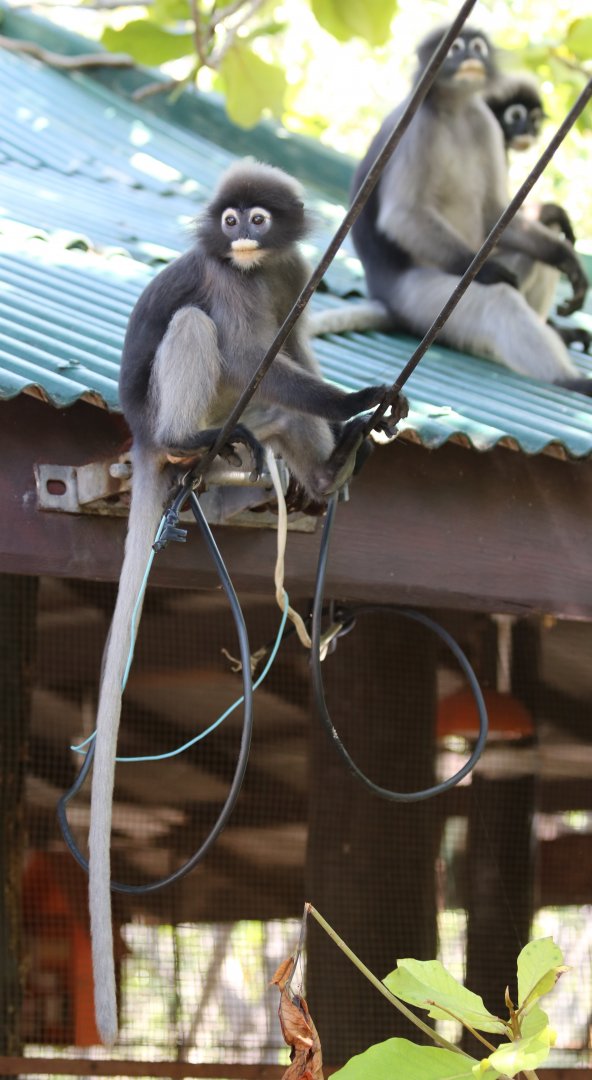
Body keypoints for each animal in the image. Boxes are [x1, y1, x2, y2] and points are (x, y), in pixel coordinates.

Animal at [88, 158, 396, 1046]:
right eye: (228, 222)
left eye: (257, 218)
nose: (241, 235)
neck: (254, 272)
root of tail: (141, 431)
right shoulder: (227, 283)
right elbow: (247, 341)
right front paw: (356, 396)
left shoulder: (289, 275)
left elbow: (291, 350)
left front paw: (354, 417)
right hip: (182, 403)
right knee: (196, 326)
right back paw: (191, 445)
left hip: (246, 408)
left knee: (279, 410)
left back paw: (322, 470)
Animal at [346, 25, 591, 392]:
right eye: (455, 47)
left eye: (477, 47)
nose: (469, 56)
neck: (453, 111)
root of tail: (384, 294)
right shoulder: (415, 129)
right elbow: (402, 217)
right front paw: (488, 271)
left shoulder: (483, 122)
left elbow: (494, 214)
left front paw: (565, 256)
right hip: (420, 301)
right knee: (499, 300)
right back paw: (572, 381)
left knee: (537, 256)